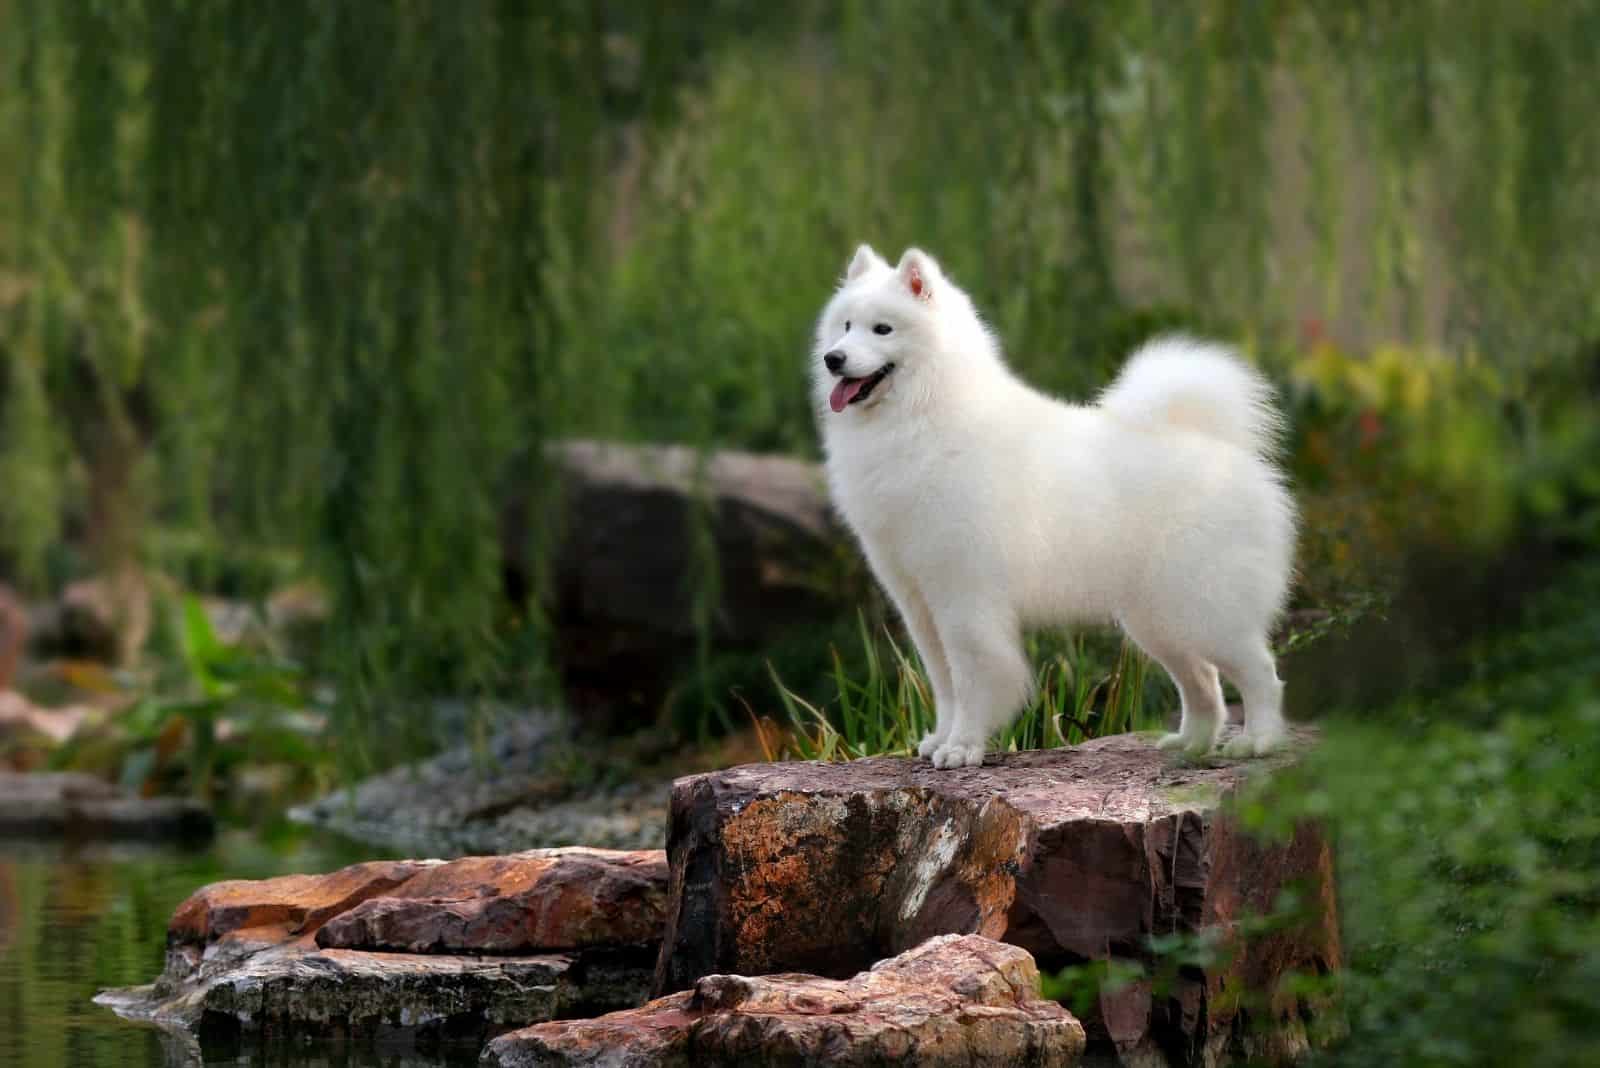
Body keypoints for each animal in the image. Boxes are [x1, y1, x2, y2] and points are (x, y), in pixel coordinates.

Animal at [812, 246, 1299, 767]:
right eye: (845, 325)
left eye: (882, 329)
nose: (833, 358)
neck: (922, 416)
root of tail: (1220, 446)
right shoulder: (918, 599)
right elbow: (943, 683)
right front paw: (939, 741)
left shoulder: (964, 596)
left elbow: (971, 680)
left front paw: (962, 747)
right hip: (1158, 620)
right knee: (1203, 682)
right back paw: (1190, 745)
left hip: (1204, 608)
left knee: (1261, 673)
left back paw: (1258, 741)